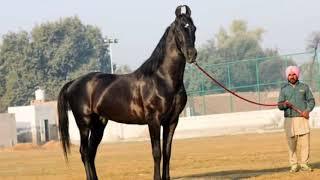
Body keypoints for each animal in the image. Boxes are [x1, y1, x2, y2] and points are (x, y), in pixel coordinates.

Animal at [57, 5, 198, 180]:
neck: (162, 79)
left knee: (90, 153)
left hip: (99, 124)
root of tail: (73, 83)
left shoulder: (172, 121)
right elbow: (157, 153)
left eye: (194, 28)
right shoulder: (154, 120)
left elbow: (167, 152)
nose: (192, 54)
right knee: (84, 152)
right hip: (84, 123)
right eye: (179, 29)